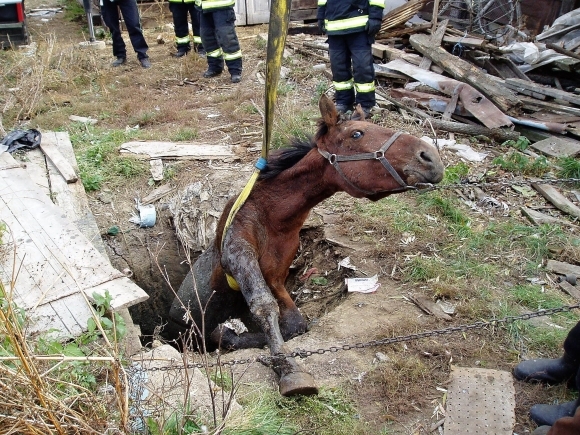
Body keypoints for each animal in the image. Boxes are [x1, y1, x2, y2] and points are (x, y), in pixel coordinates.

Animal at [168, 95, 444, 398]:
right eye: (356, 133)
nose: (431, 157)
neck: (271, 214)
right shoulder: (238, 252)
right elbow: (264, 306)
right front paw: (288, 369)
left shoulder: (277, 275)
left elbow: (294, 323)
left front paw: (235, 336)